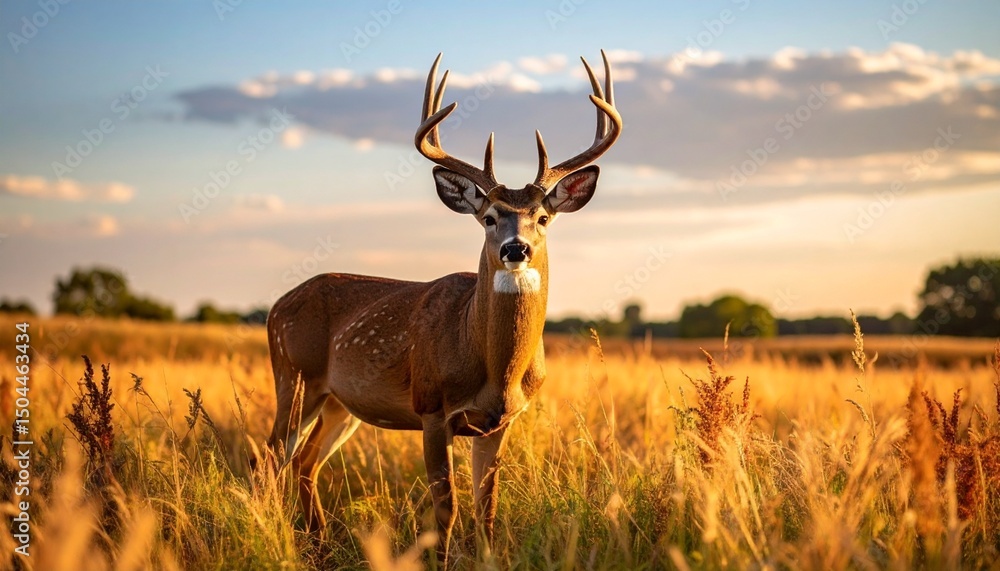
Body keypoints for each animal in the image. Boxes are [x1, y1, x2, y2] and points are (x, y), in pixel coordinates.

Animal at [262, 50, 621, 565]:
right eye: (489, 217)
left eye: (543, 217)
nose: (516, 248)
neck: (492, 367)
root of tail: (277, 306)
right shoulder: (431, 408)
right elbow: (446, 507)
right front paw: (441, 560)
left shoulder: (498, 422)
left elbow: (487, 507)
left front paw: (487, 558)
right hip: (293, 376)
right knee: (270, 456)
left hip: (338, 403)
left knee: (304, 463)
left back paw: (319, 545)